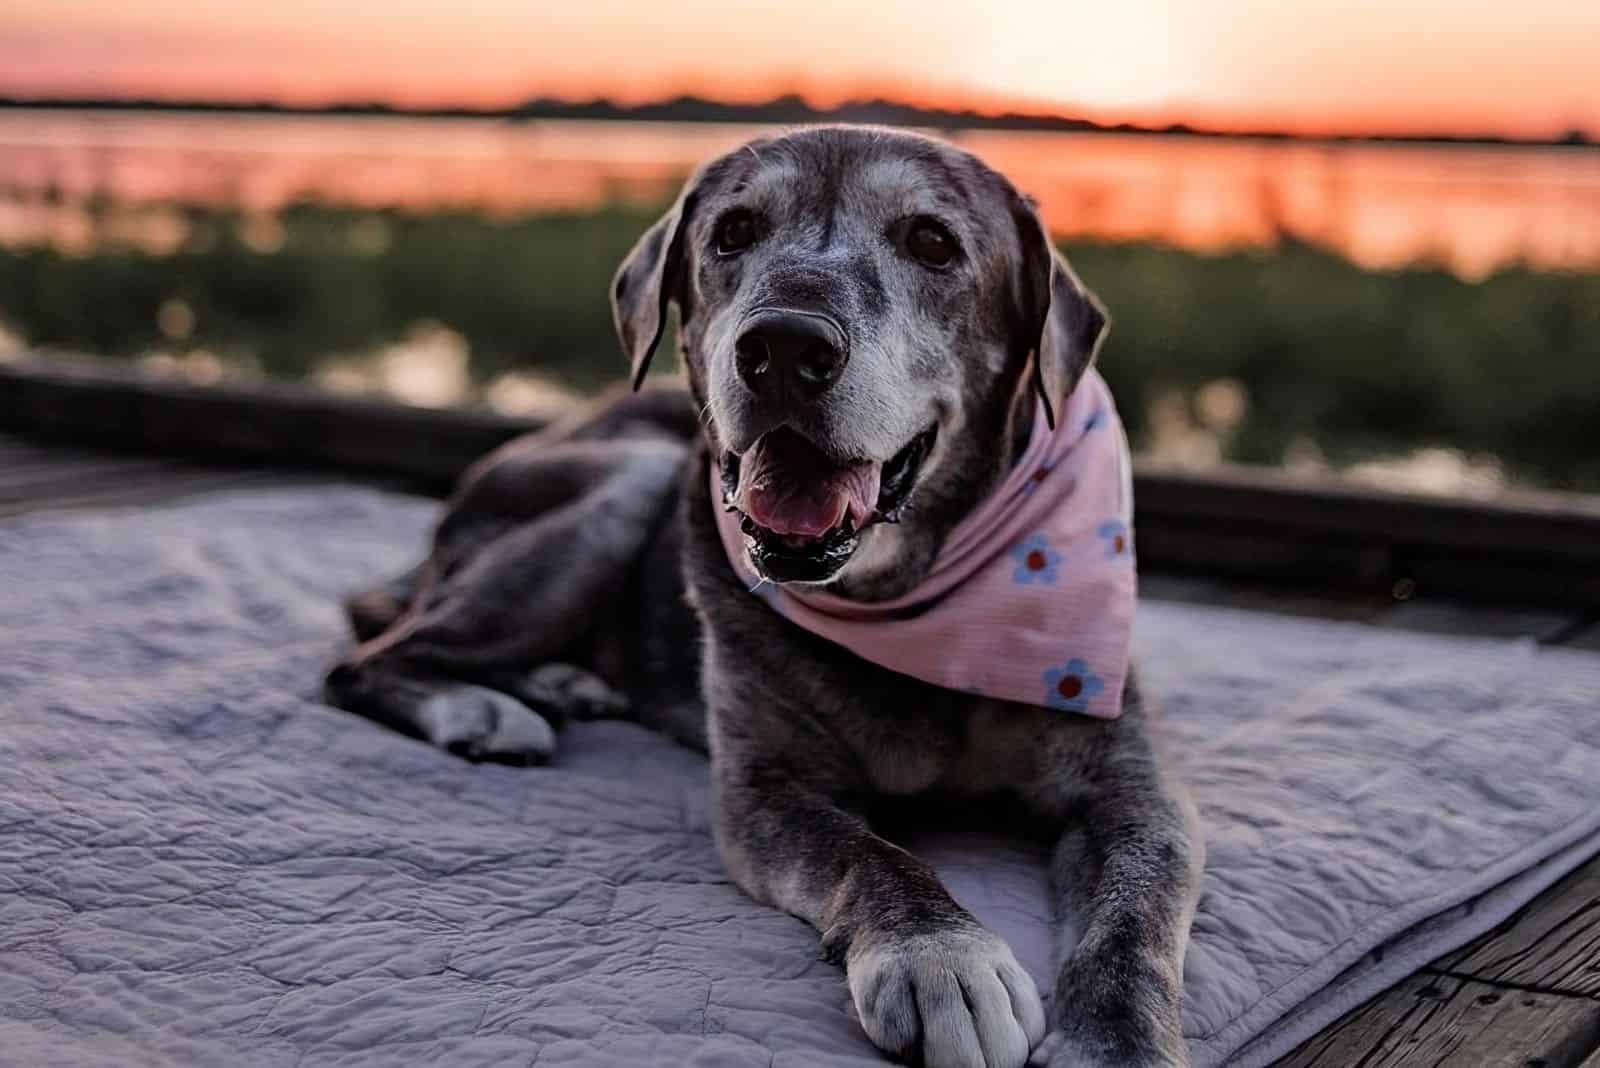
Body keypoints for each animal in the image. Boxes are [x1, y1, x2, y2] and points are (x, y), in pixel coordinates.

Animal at [324, 127, 1203, 1068]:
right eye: (734, 232)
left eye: (933, 242)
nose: (783, 347)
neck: (912, 604)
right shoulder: (763, 789)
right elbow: (867, 852)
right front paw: (940, 955)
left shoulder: (1136, 793)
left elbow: (1135, 913)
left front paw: (1118, 1042)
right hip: (628, 480)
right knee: (370, 656)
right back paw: (484, 708)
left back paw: (563, 682)